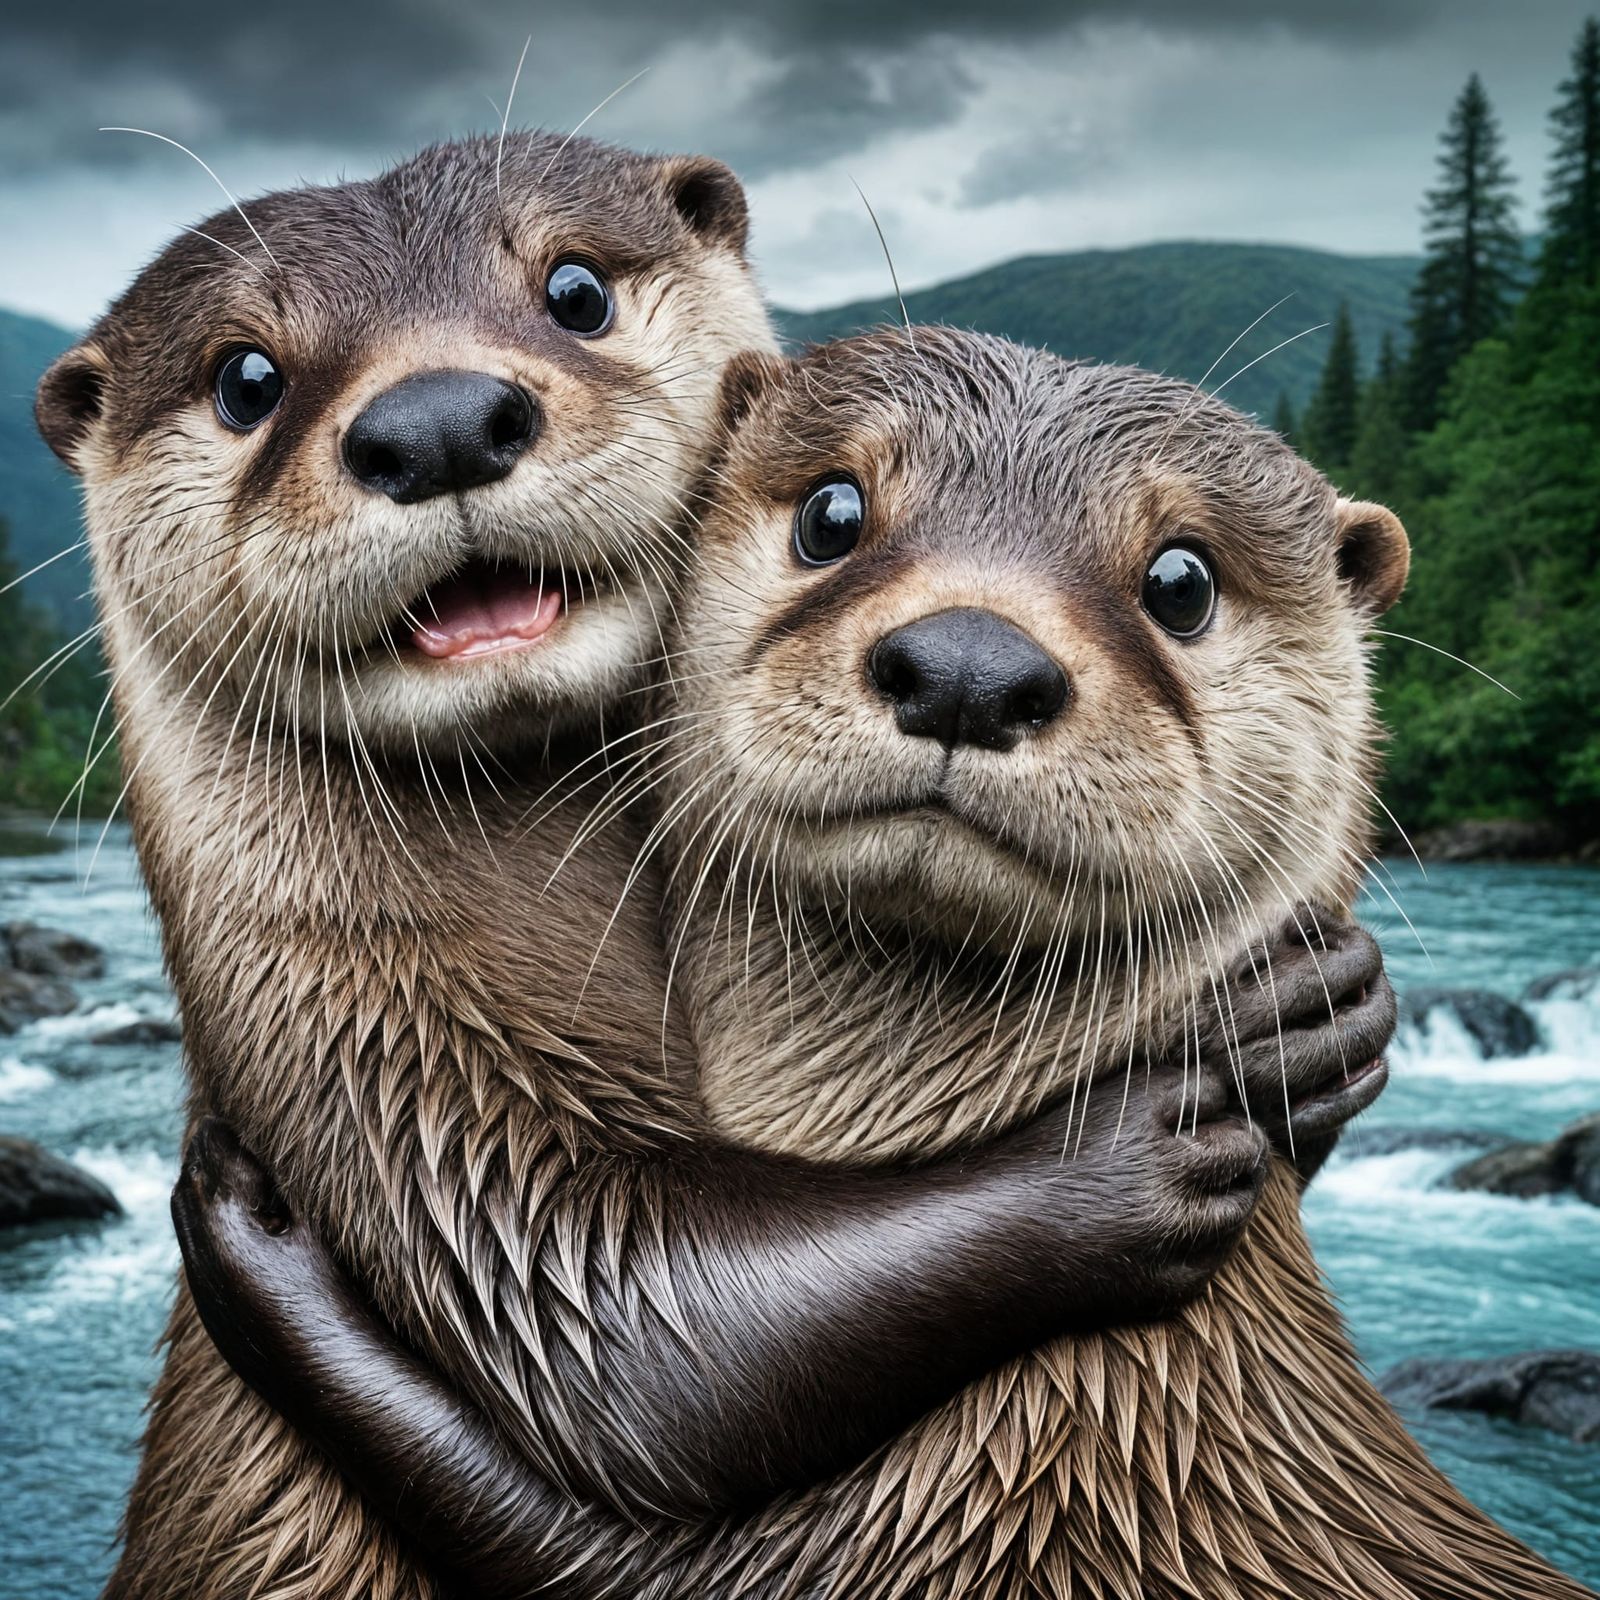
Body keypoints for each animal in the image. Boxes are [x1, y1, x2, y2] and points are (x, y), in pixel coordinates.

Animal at [34, 143, 1334, 1600]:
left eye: (576, 290)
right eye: (245, 380)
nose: (437, 420)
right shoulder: (362, 1053)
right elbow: (630, 1333)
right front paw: (1139, 1141)